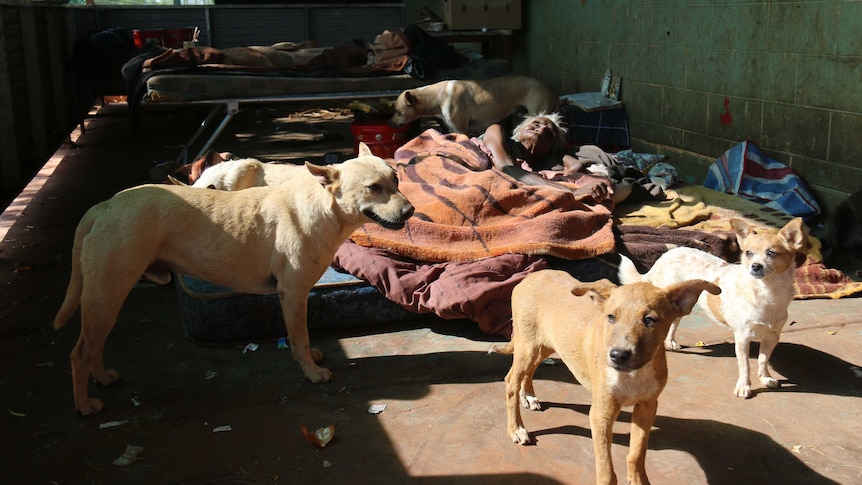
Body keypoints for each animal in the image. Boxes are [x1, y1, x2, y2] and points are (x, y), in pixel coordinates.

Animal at [54, 142, 416, 414]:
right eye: (373, 188)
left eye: (397, 180)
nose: (410, 211)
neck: (323, 204)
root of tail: (103, 207)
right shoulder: (293, 293)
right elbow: (299, 336)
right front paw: (311, 373)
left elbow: (301, 336)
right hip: (107, 295)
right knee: (79, 353)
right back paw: (84, 405)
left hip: (104, 298)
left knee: (94, 345)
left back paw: (102, 378)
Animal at [392, 75, 560, 134]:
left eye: (398, 111)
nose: (389, 122)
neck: (438, 97)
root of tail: (550, 87)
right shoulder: (452, 129)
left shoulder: (461, 129)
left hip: (537, 113)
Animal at [496, 270, 720, 482]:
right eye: (611, 317)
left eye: (650, 320)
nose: (618, 355)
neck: (634, 375)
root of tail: (530, 277)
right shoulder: (601, 414)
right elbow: (606, 469)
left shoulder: (647, 406)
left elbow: (637, 452)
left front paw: (638, 479)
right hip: (528, 347)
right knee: (511, 381)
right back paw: (516, 428)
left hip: (546, 345)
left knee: (530, 371)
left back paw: (528, 396)